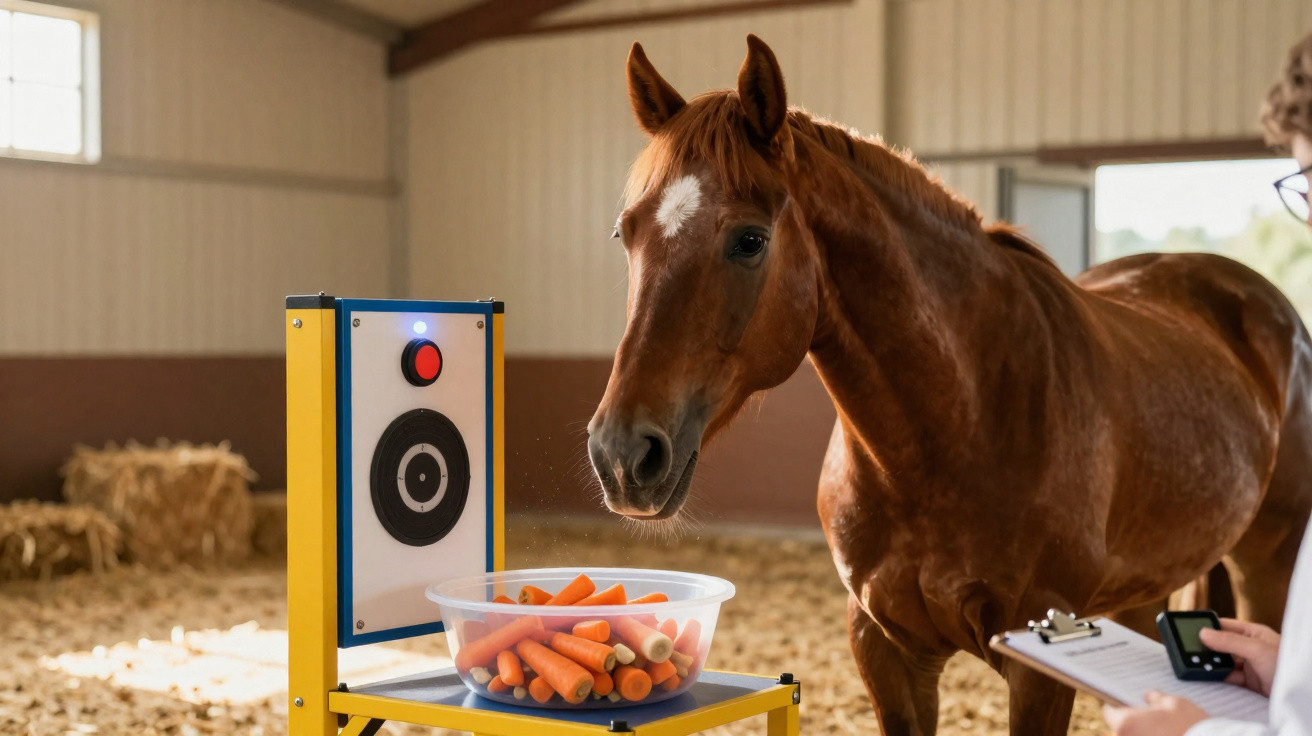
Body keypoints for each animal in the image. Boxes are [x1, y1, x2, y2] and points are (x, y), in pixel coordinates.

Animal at [586, 35, 1312, 735]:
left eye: (749, 239)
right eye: (625, 233)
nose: (621, 454)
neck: (962, 424)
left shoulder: (1041, 665)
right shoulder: (887, 653)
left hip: (1265, 571)